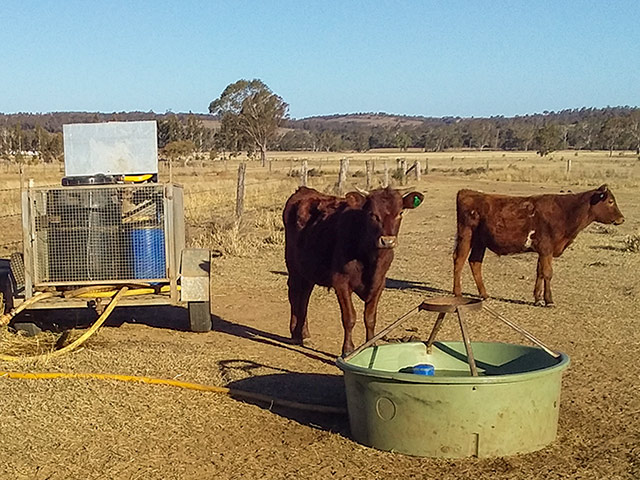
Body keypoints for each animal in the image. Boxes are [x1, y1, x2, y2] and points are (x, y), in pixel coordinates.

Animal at [282, 186, 422, 354]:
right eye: (372, 214)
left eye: (400, 213)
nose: (387, 241)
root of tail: (304, 190)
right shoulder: (341, 282)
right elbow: (349, 318)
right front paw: (348, 349)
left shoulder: (380, 283)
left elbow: (370, 317)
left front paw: (371, 345)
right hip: (293, 267)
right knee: (294, 294)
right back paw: (295, 333)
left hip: (308, 270)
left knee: (304, 297)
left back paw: (305, 333)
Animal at [456, 186, 624, 306]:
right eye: (610, 201)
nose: (622, 219)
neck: (566, 211)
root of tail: (467, 192)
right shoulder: (546, 249)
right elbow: (548, 273)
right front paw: (549, 300)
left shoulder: (543, 251)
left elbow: (540, 272)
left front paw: (537, 298)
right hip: (466, 236)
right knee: (459, 260)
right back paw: (457, 293)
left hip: (480, 242)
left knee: (475, 262)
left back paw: (484, 294)